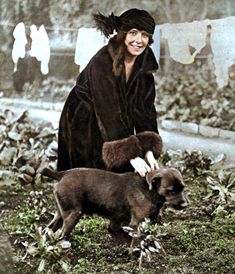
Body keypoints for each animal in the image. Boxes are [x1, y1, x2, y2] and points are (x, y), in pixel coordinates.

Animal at [40, 166, 187, 239]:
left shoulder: (118, 222)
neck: (149, 189)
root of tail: (61, 174)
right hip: (73, 214)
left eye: (182, 188)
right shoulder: (136, 222)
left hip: (60, 214)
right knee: (62, 234)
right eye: (171, 191)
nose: (185, 205)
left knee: (50, 229)